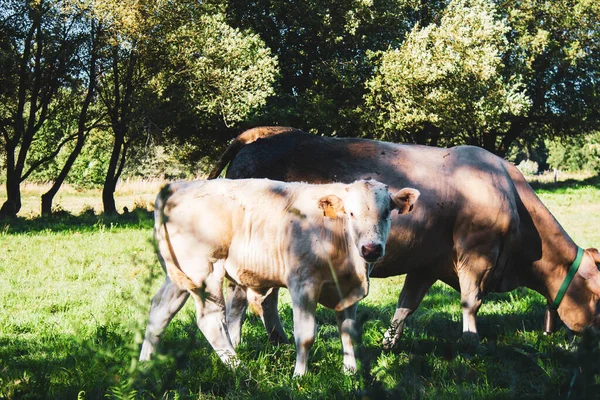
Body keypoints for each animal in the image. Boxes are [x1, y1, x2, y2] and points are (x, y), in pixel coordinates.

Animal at [141, 178, 422, 376]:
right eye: (351, 213)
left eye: (386, 213)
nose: (371, 249)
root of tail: (179, 185)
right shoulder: (302, 284)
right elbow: (305, 335)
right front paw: (300, 375)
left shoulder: (347, 289)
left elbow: (348, 331)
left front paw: (350, 372)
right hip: (205, 273)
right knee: (210, 319)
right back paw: (239, 368)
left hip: (180, 274)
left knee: (160, 309)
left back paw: (145, 362)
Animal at [209, 126, 600, 348]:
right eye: (597, 294)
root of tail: (259, 138)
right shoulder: (477, 254)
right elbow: (471, 302)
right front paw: (472, 342)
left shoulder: (428, 263)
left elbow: (407, 304)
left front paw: (389, 344)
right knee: (250, 299)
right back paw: (259, 341)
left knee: (259, 298)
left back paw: (268, 341)